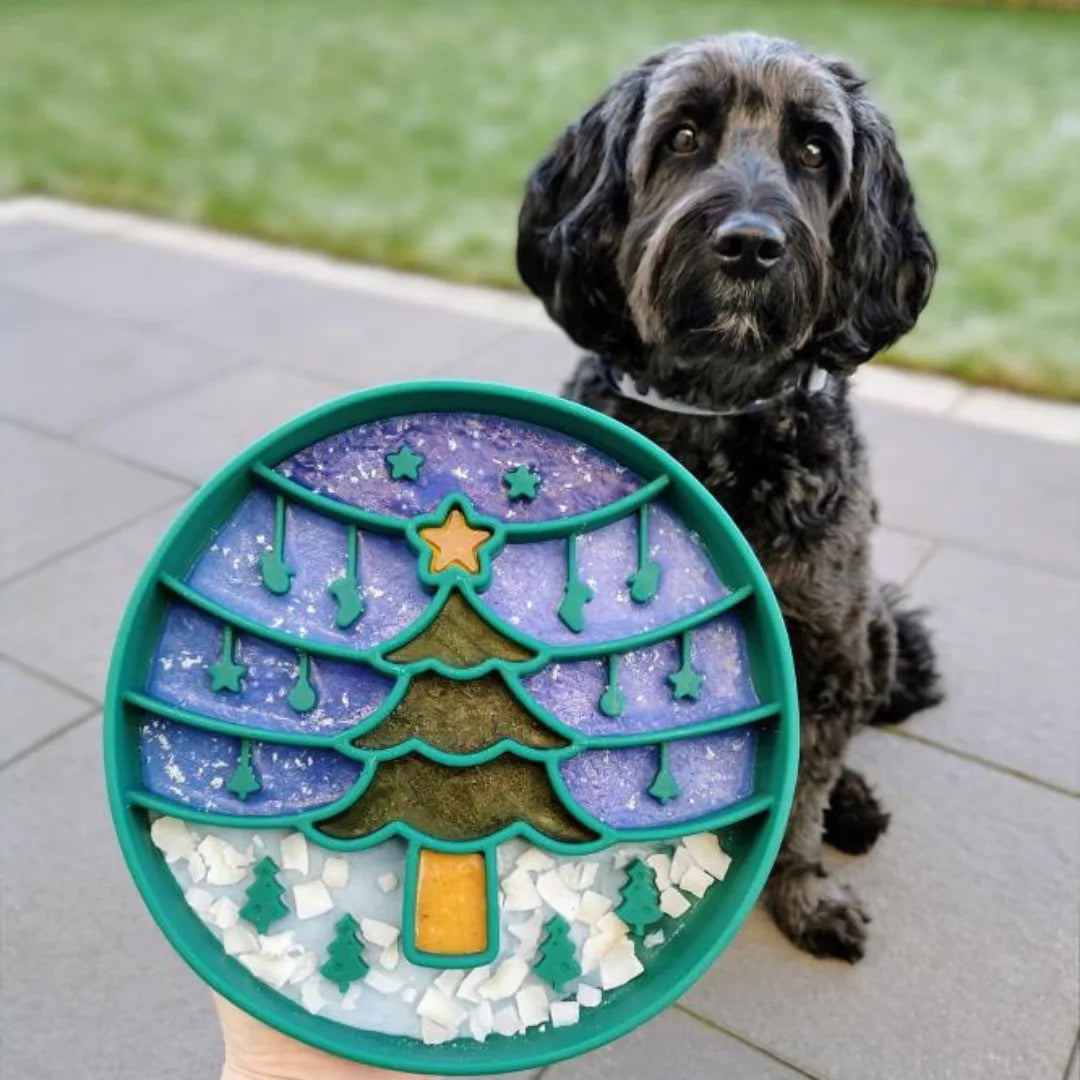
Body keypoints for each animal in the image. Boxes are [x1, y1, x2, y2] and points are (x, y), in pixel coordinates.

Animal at [518, 33, 941, 963]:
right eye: (682, 136)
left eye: (815, 149)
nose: (750, 245)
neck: (718, 411)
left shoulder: (823, 649)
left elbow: (804, 794)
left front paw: (804, 894)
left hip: (872, 631)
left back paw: (856, 804)